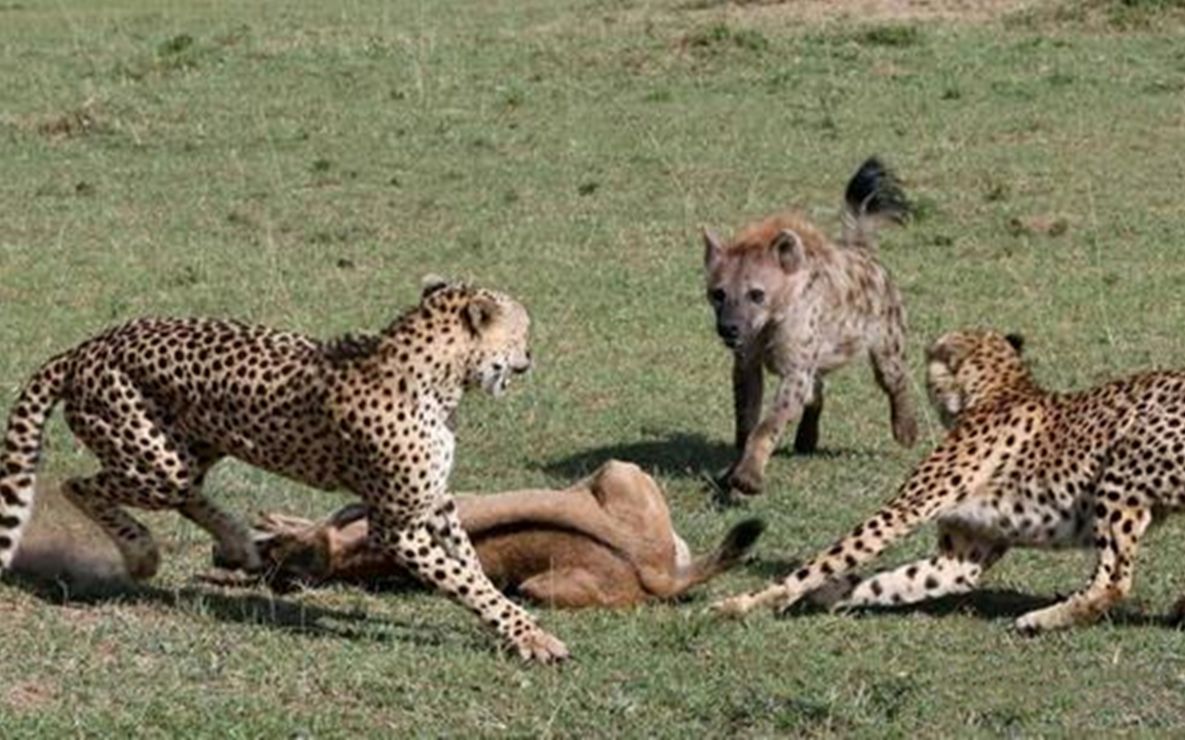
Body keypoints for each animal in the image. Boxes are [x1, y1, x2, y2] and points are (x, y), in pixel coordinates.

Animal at [0, 277, 568, 664]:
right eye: (522, 331)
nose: (530, 355)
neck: (440, 375)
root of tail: (87, 346)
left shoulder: (435, 503)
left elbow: (470, 565)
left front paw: (511, 623)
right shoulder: (397, 526)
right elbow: (464, 580)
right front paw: (531, 636)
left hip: (190, 446)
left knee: (187, 491)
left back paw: (238, 544)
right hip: (155, 460)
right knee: (79, 484)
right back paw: (142, 554)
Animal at [701, 158, 914, 500]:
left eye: (757, 294)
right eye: (718, 293)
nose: (729, 328)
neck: (768, 325)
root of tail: (864, 253)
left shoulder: (795, 366)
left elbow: (769, 423)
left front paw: (747, 477)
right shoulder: (747, 362)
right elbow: (746, 417)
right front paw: (733, 469)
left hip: (887, 335)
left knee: (894, 376)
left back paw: (906, 430)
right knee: (817, 391)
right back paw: (806, 438)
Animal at [710, 332, 1185, 630]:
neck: (1000, 389)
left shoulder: (903, 510)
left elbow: (827, 560)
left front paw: (745, 604)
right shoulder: (960, 558)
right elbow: (894, 581)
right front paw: (829, 595)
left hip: (1123, 464)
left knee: (1114, 580)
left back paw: (1039, 620)